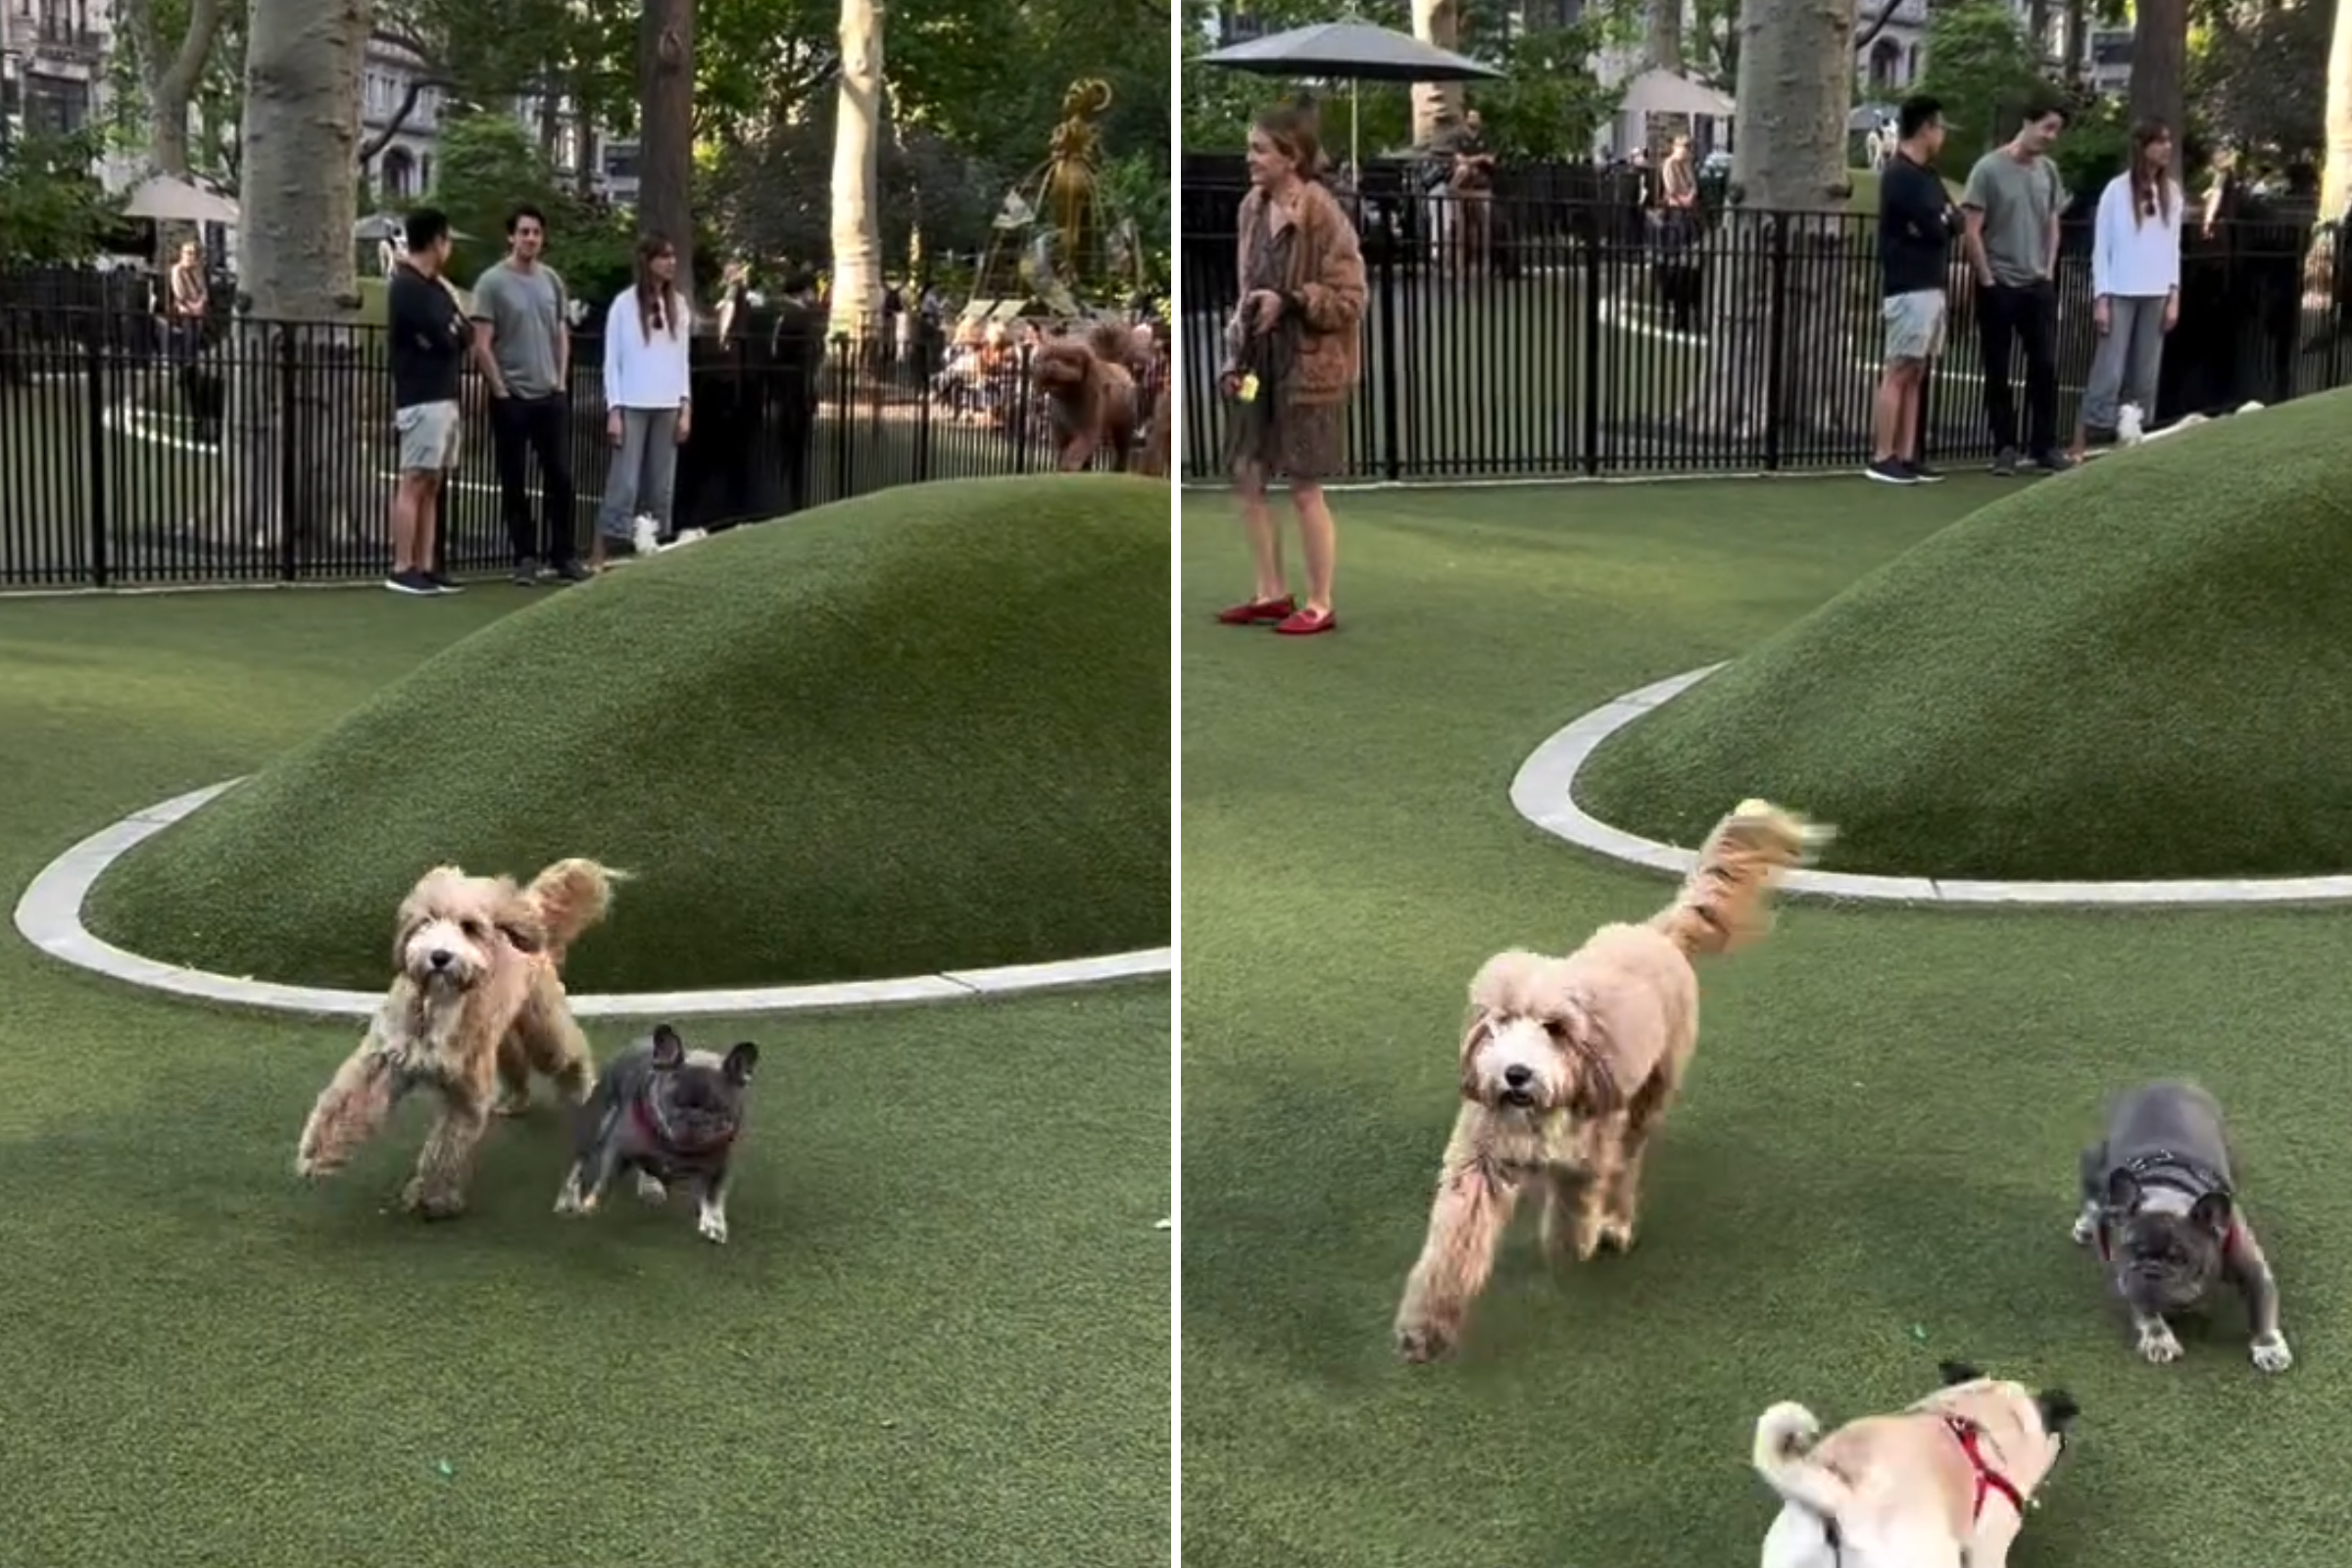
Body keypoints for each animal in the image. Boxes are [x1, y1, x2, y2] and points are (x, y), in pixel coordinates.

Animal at [291, 859, 625, 1212]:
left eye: (469, 926)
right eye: (426, 920)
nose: (439, 956)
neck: (436, 1005)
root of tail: (529, 906)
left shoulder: (465, 1093)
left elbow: (446, 1148)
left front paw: (432, 1198)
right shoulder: (383, 1059)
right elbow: (344, 1104)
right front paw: (316, 1153)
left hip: (542, 1028)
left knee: (568, 1055)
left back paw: (584, 1092)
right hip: (502, 1037)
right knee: (516, 1064)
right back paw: (514, 1100)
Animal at [1383, 799, 1825, 1363]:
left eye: (1554, 1028)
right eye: (1499, 1021)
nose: (1515, 1075)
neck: (1538, 1113)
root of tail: (1657, 931)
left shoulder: (1586, 1158)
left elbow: (1573, 1219)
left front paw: (1579, 1243)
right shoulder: (1479, 1163)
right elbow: (1452, 1246)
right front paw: (1423, 1330)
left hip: (1649, 1097)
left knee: (1627, 1164)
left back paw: (1614, 1223)